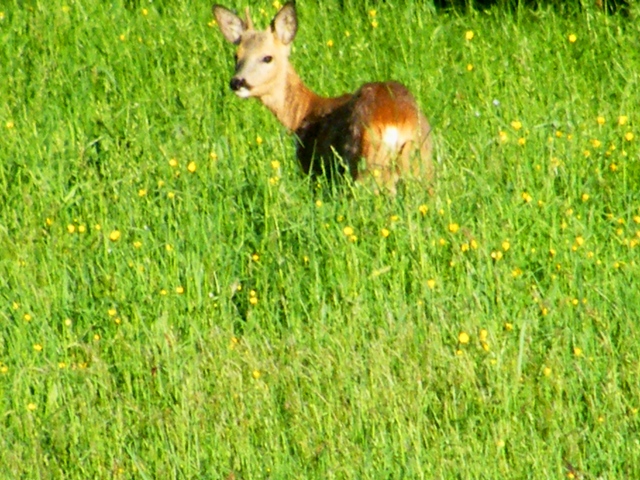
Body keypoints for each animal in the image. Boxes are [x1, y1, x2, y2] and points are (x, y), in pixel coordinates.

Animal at [212, 2, 432, 193]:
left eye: (267, 57)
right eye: (236, 55)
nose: (237, 82)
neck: (304, 113)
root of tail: (398, 123)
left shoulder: (311, 166)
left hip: (365, 164)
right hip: (423, 165)